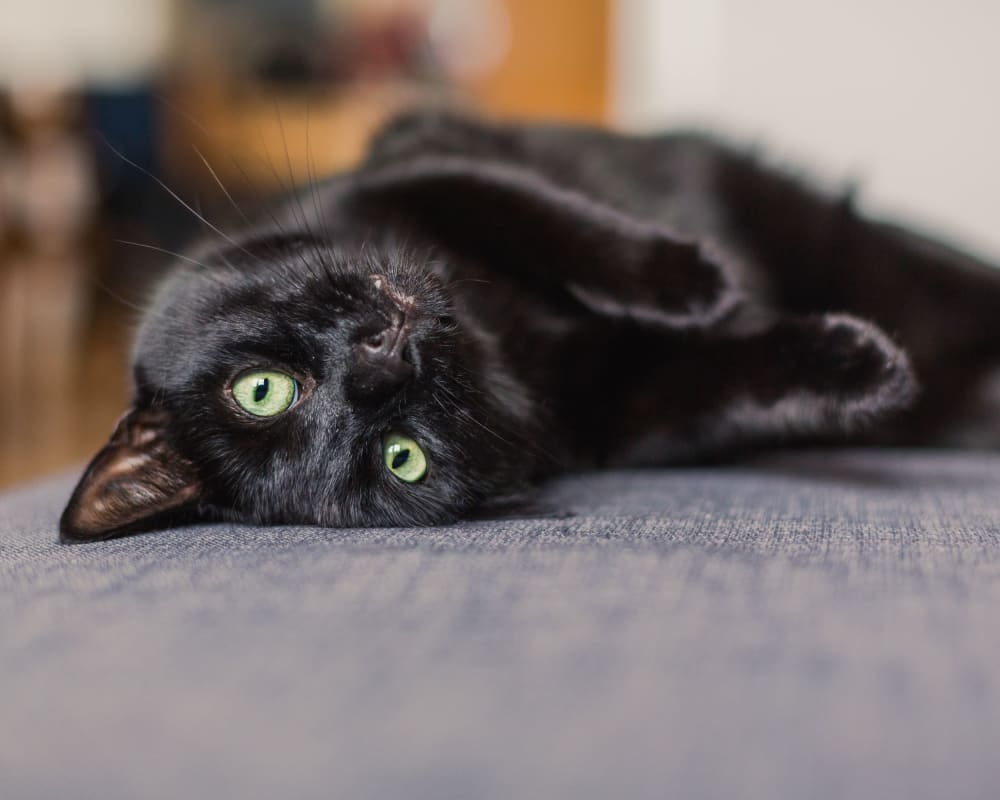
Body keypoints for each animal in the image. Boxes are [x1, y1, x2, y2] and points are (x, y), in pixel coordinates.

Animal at [60, 109, 1000, 540]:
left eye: (259, 390)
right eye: (401, 458)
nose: (382, 355)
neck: (498, 336)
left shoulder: (421, 159)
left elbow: (549, 221)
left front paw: (693, 281)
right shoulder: (620, 415)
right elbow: (739, 389)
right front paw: (861, 367)